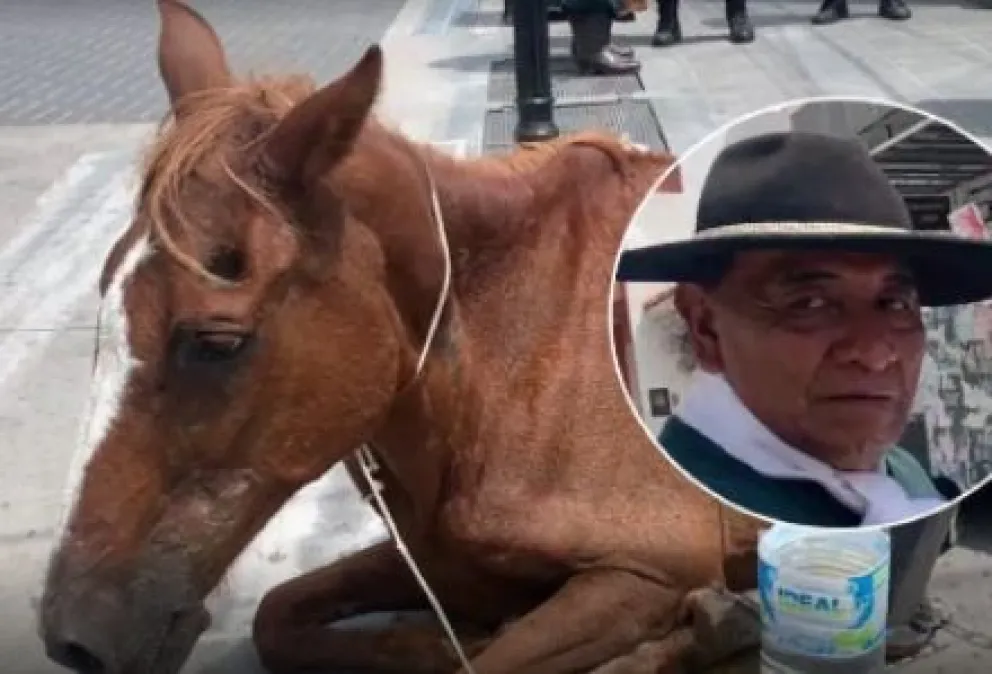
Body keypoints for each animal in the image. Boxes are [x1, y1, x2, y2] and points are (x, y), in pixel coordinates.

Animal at [38, 2, 763, 673]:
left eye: (217, 342)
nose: (72, 639)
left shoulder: (646, 570)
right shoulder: (435, 561)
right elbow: (279, 618)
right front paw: (433, 643)